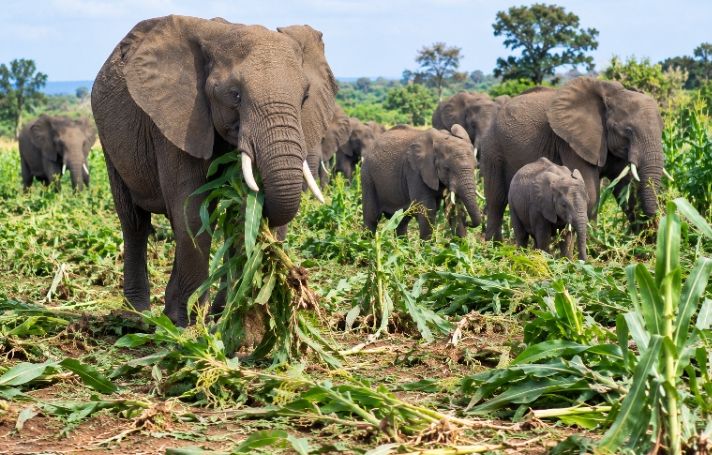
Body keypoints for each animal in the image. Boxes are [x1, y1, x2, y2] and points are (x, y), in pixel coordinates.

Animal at [91, 15, 336, 326]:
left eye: (304, 97)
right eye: (235, 96)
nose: (297, 280)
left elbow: (237, 217)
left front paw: (224, 317)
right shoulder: (180, 120)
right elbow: (193, 212)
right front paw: (186, 323)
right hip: (109, 140)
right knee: (134, 222)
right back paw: (138, 316)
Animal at [480, 77, 664, 241]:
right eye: (628, 131)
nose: (653, 232)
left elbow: (626, 189)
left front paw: (641, 243)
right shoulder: (569, 142)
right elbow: (591, 191)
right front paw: (594, 245)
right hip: (493, 149)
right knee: (497, 200)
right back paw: (494, 247)